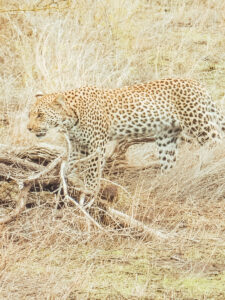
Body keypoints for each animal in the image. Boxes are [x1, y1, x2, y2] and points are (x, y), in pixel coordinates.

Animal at [27, 78, 225, 193]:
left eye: (40, 115)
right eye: (30, 114)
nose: (28, 128)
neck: (71, 118)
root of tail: (200, 85)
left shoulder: (97, 145)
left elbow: (92, 170)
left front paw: (90, 191)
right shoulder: (78, 146)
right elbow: (73, 165)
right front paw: (68, 182)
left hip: (199, 123)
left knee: (217, 144)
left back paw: (215, 172)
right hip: (167, 137)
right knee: (168, 162)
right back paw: (161, 183)